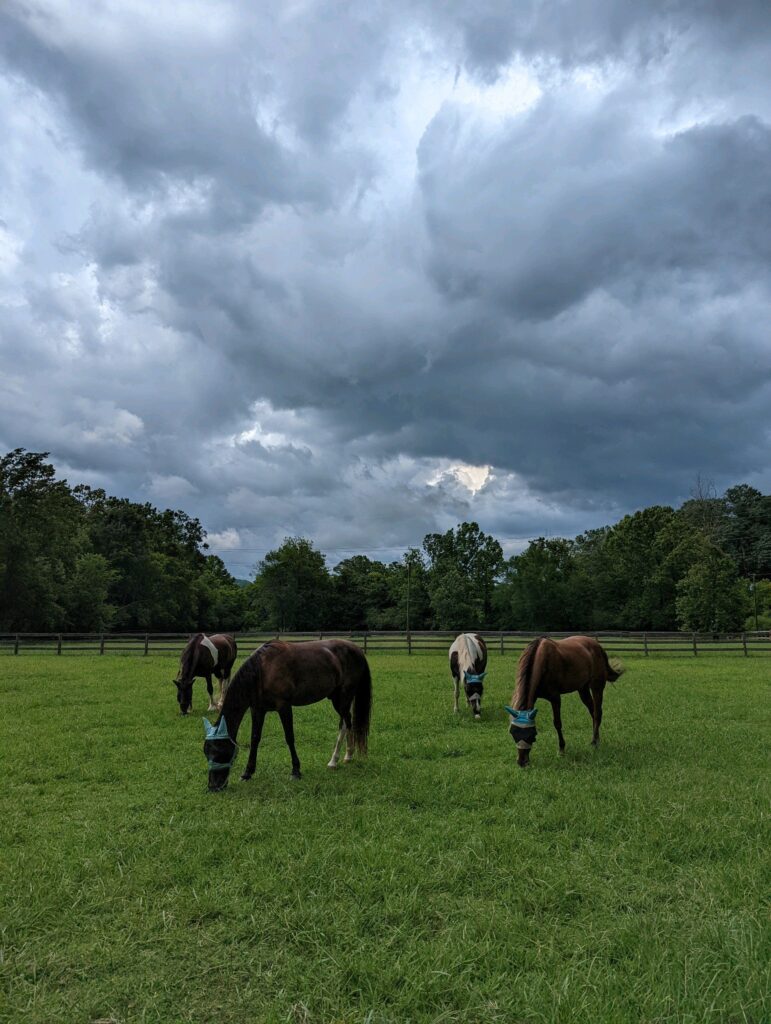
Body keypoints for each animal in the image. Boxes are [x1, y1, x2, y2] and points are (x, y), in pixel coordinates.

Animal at [201, 638, 370, 790]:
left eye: (220, 751)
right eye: (206, 753)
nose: (213, 786)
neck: (262, 670)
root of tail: (356, 649)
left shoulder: (284, 707)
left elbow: (289, 737)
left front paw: (296, 771)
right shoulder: (258, 710)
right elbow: (255, 739)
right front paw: (247, 773)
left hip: (343, 698)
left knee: (345, 723)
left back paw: (334, 760)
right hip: (338, 698)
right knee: (347, 722)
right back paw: (348, 755)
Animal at [505, 630, 626, 770]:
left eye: (532, 734)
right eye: (513, 733)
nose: (522, 762)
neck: (542, 660)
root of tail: (597, 646)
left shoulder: (555, 698)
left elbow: (557, 723)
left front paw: (561, 749)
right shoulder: (534, 696)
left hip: (597, 686)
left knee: (597, 712)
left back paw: (594, 742)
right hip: (582, 689)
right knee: (592, 711)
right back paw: (596, 739)